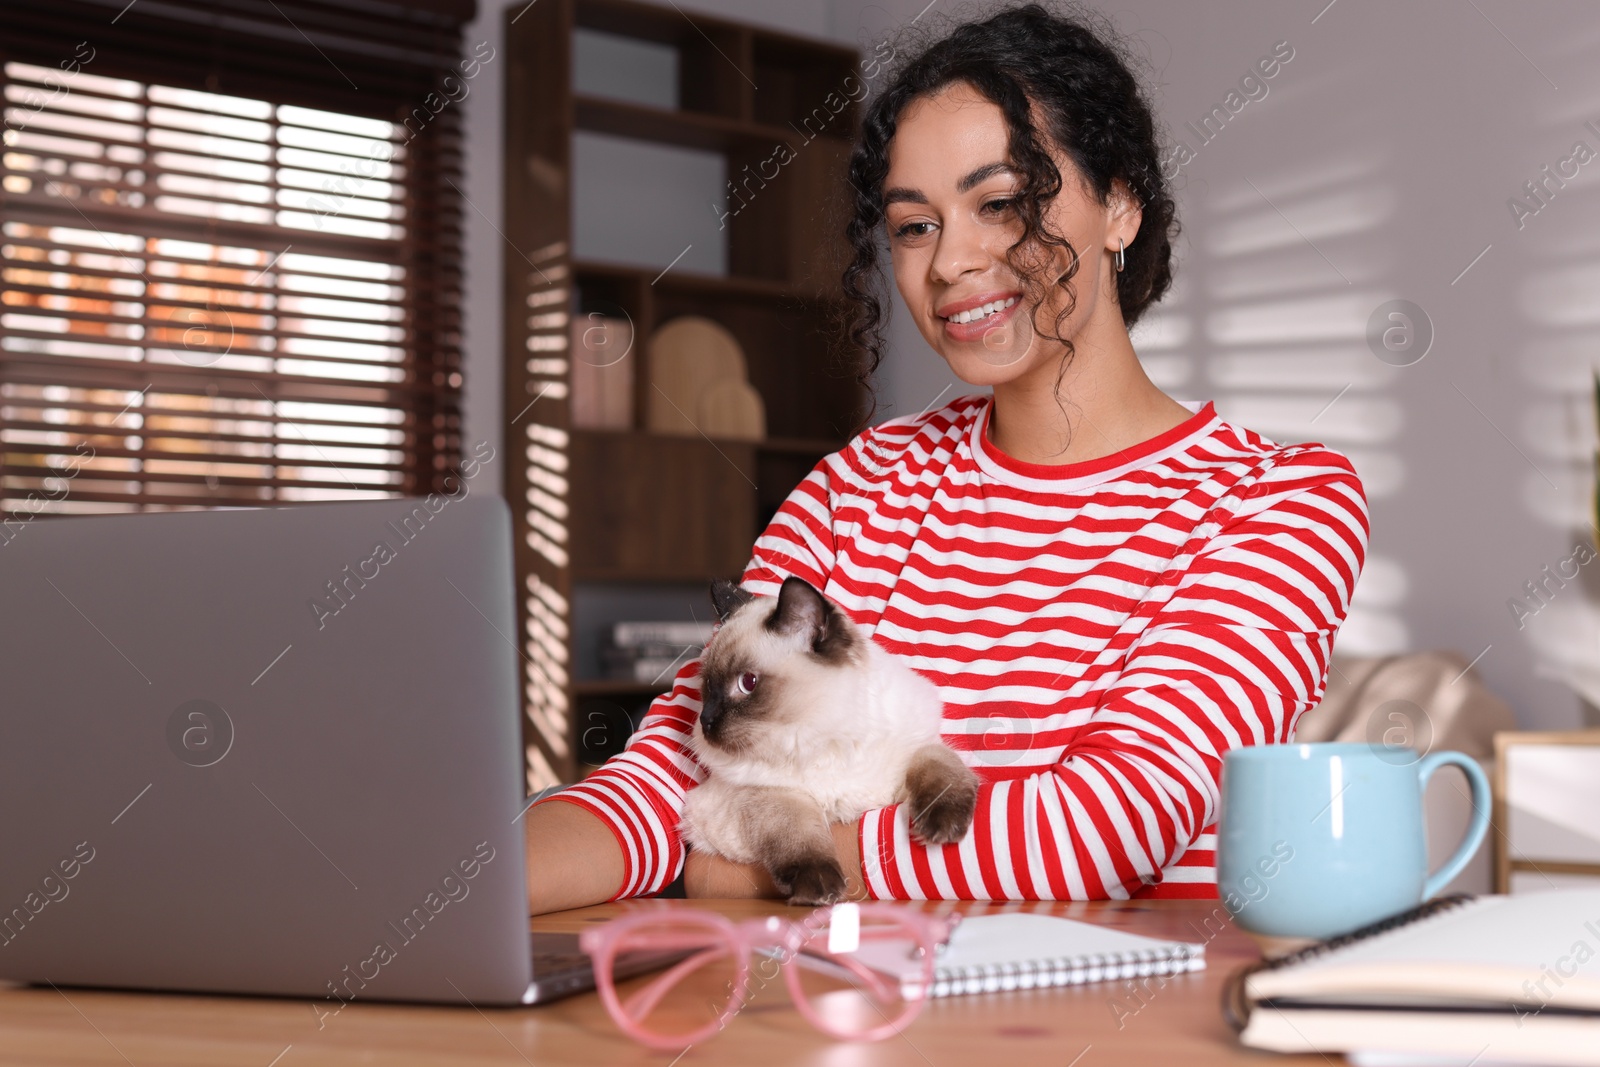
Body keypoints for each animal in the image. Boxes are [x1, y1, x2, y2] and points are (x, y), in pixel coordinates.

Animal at [675, 579, 972, 908]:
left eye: (747, 683)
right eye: (707, 687)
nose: (706, 720)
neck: (821, 737)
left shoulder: (917, 751)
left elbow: (938, 768)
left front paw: (944, 825)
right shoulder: (767, 796)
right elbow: (799, 836)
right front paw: (819, 888)